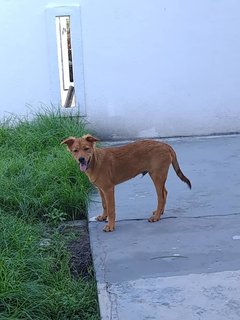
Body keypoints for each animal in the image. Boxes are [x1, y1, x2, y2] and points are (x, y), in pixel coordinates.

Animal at [61, 135, 191, 232]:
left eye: (86, 148)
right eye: (75, 151)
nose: (81, 159)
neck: (95, 161)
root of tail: (166, 145)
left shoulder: (108, 189)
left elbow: (111, 209)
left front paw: (110, 226)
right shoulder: (101, 189)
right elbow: (104, 205)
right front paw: (103, 217)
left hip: (157, 175)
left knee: (161, 196)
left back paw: (156, 217)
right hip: (158, 176)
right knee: (165, 192)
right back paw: (160, 212)